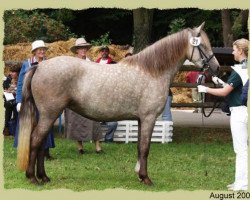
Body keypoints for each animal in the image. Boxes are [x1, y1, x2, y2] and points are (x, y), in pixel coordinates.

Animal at [17, 22, 220, 185]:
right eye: (202, 45)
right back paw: (33, 178)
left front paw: (139, 175)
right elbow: (145, 148)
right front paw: (146, 178)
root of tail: (40, 66)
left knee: (41, 144)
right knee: (36, 141)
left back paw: (43, 177)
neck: (152, 71)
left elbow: (139, 147)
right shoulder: (149, 118)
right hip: (49, 114)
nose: (216, 68)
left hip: (46, 115)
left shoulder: (141, 120)